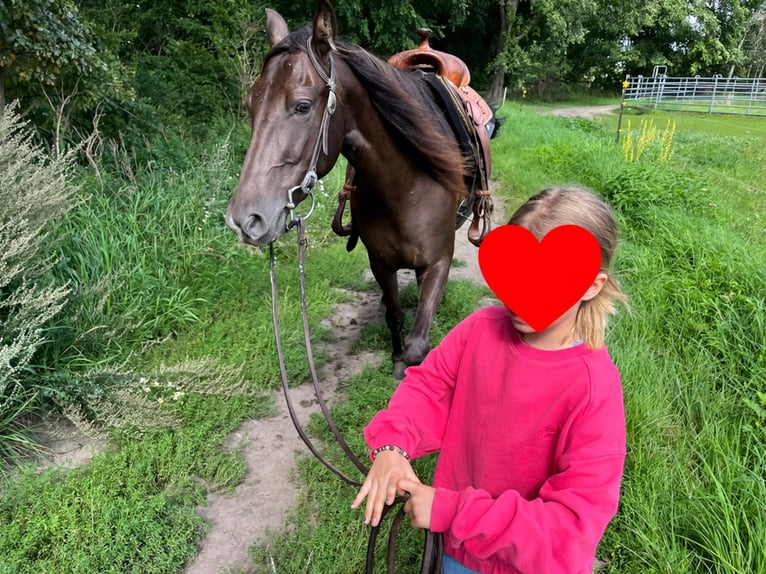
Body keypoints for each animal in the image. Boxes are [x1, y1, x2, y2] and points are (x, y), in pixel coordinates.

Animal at [226, 0, 493, 379]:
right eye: (252, 104)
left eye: (303, 106)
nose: (245, 220)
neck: (406, 187)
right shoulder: (379, 262)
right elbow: (394, 317)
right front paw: (395, 360)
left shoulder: (439, 261)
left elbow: (417, 345)